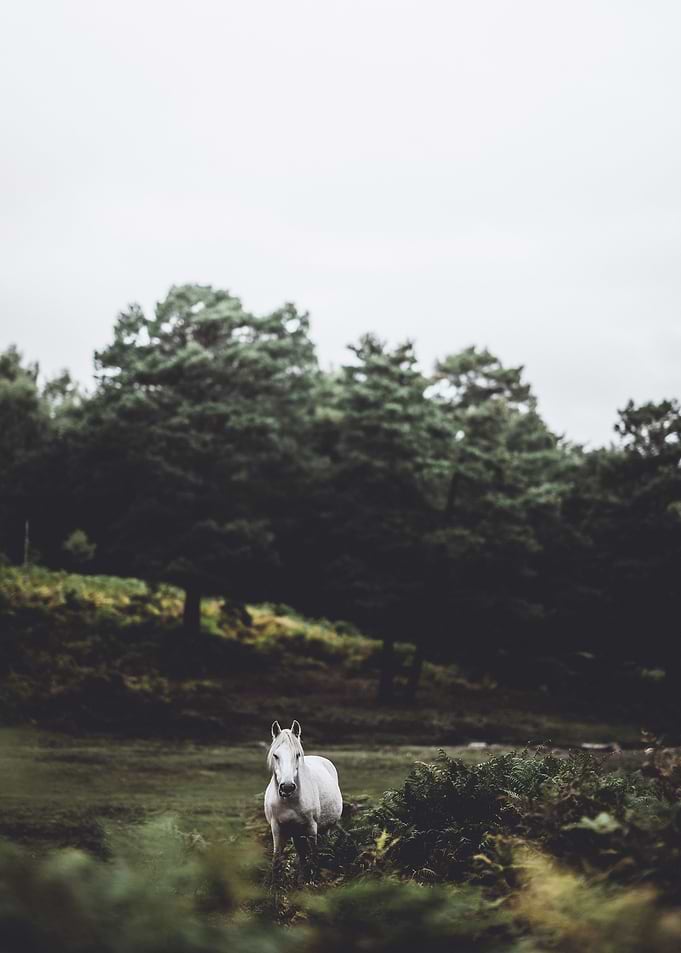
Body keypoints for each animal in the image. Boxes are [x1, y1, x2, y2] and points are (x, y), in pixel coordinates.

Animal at [264, 719, 343, 884]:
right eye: (275, 755)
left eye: (297, 754)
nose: (287, 787)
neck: (290, 802)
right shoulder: (276, 828)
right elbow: (277, 860)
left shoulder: (311, 828)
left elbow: (314, 855)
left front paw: (313, 881)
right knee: (301, 854)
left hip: (325, 829)